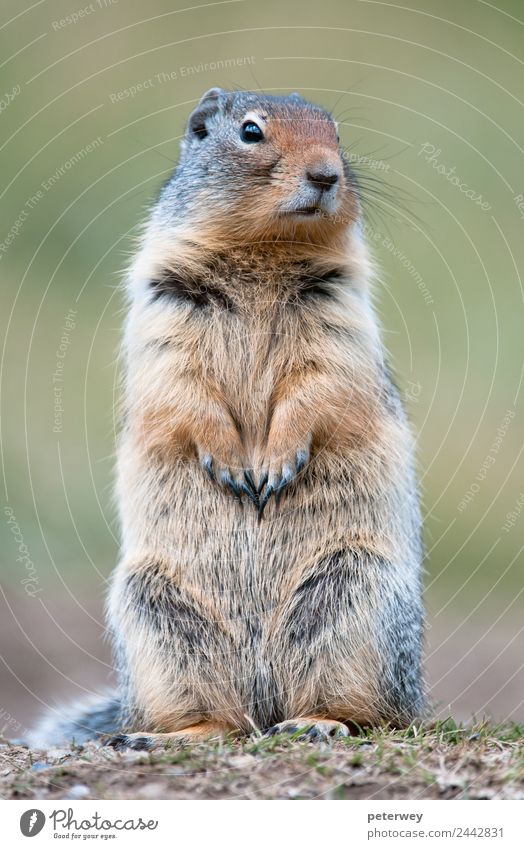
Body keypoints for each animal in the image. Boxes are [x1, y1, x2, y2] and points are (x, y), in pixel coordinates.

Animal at [32, 88, 424, 748]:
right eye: (250, 132)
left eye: (336, 133)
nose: (328, 174)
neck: (264, 250)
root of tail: (264, 704)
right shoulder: (164, 307)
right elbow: (183, 388)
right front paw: (235, 465)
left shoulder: (338, 312)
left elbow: (320, 384)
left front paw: (275, 462)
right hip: (155, 614)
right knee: (221, 719)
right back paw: (162, 735)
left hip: (359, 595)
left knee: (372, 714)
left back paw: (315, 722)